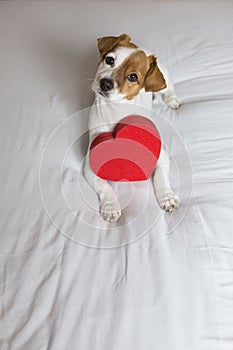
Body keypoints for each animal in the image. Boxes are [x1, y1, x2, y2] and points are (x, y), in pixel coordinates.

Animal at [84, 34, 181, 223]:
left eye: (133, 77)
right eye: (109, 60)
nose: (105, 83)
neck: (116, 110)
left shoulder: (161, 156)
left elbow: (161, 177)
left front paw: (167, 197)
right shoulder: (90, 163)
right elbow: (104, 185)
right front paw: (111, 206)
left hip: (166, 77)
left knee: (169, 87)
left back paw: (172, 99)